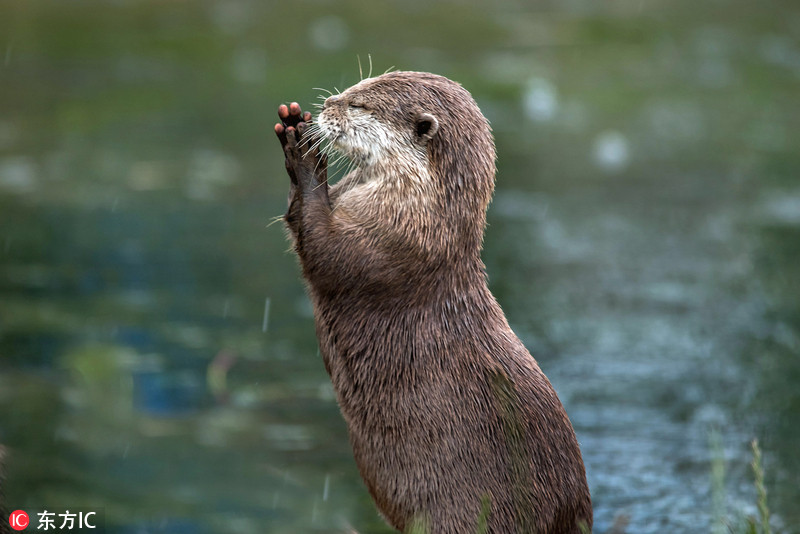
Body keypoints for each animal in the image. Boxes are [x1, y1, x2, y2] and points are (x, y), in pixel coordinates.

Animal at [272, 72, 592, 534]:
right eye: (358, 85)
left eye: (360, 106)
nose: (330, 104)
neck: (423, 210)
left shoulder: (391, 242)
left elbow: (325, 252)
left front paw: (302, 153)